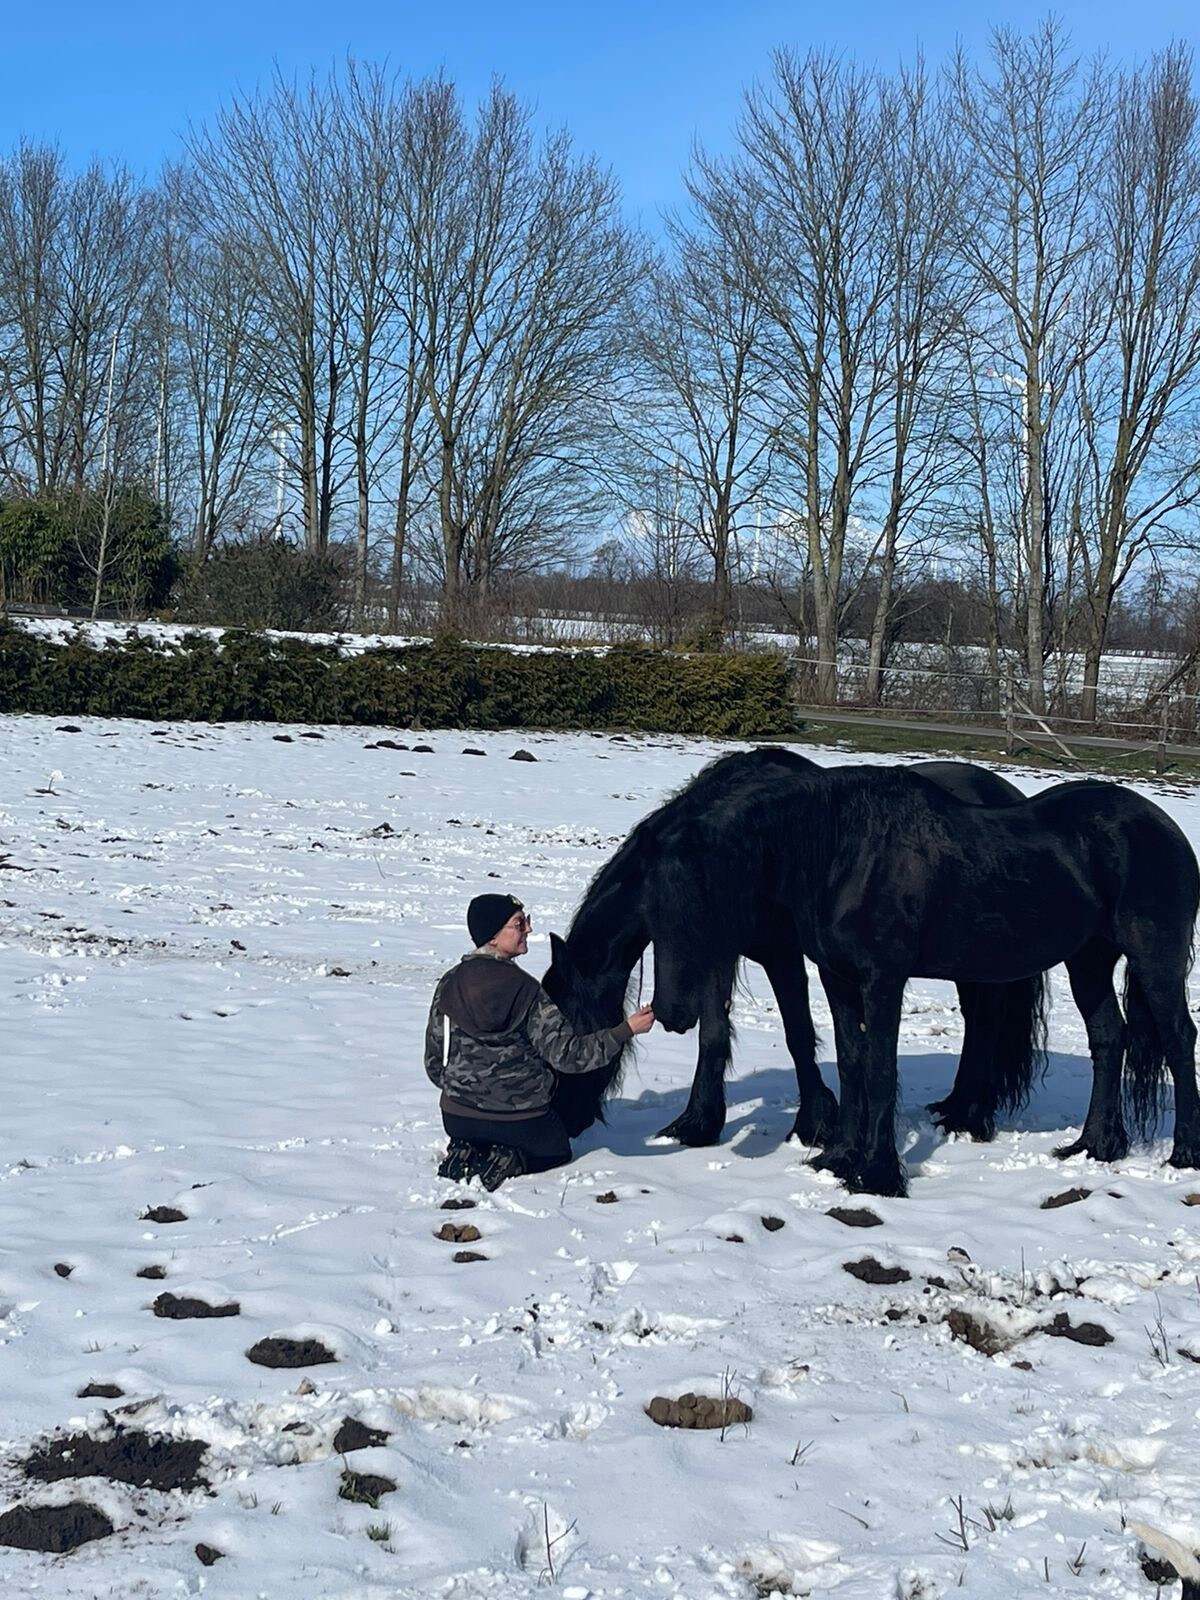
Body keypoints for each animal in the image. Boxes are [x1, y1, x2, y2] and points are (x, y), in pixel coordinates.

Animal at [540, 748, 1049, 1152]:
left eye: (570, 1037)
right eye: (659, 921)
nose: (565, 1123)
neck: (760, 852)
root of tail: (1005, 791)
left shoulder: (782, 953)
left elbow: (797, 1033)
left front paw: (814, 1123)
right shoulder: (721, 952)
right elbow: (714, 1033)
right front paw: (699, 1123)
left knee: (984, 1022)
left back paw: (969, 1115)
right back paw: (955, 1105)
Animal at [640, 768, 1196, 1196]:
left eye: (699, 910)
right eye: (654, 912)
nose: (668, 1014)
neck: (844, 855)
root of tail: (1164, 828)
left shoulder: (883, 979)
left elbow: (881, 1072)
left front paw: (877, 1175)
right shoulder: (838, 978)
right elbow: (852, 1063)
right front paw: (839, 1158)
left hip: (1154, 955)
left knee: (1177, 1038)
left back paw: (1183, 1154)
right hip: (1089, 960)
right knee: (1109, 1037)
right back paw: (1095, 1146)